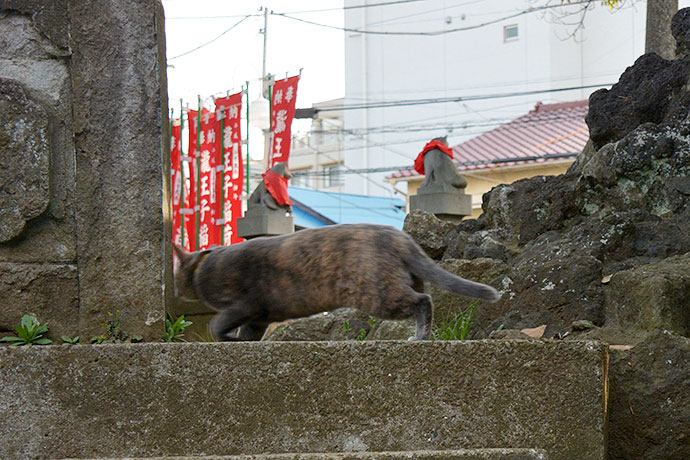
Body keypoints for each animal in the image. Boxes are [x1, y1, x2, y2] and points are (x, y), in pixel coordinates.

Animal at [172, 224, 500, 342]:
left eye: (176, 276)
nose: (175, 291)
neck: (205, 267)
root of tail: (400, 236)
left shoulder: (241, 305)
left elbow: (216, 325)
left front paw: (227, 339)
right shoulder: (259, 317)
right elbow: (248, 334)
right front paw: (242, 343)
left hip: (378, 294)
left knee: (424, 303)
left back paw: (419, 337)